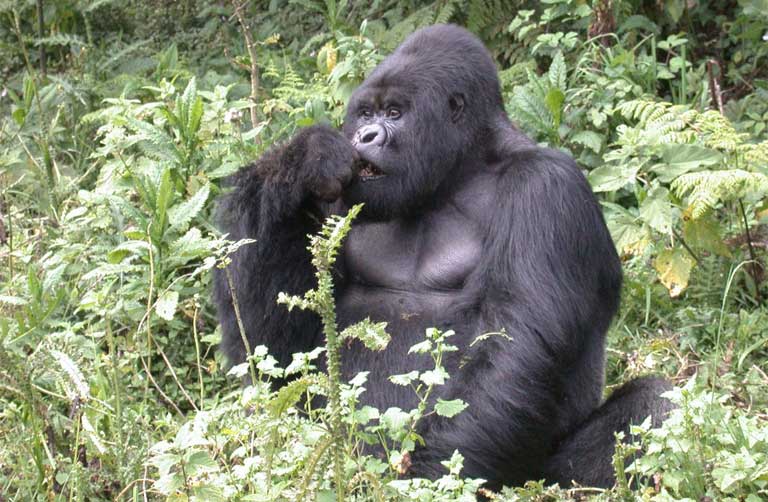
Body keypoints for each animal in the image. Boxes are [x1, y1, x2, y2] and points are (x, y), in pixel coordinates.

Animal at [212, 24, 672, 490]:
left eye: (394, 113)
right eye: (365, 115)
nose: (365, 138)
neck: (460, 169)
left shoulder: (547, 188)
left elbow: (516, 349)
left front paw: (420, 477)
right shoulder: (338, 200)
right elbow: (279, 353)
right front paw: (303, 158)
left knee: (652, 402)